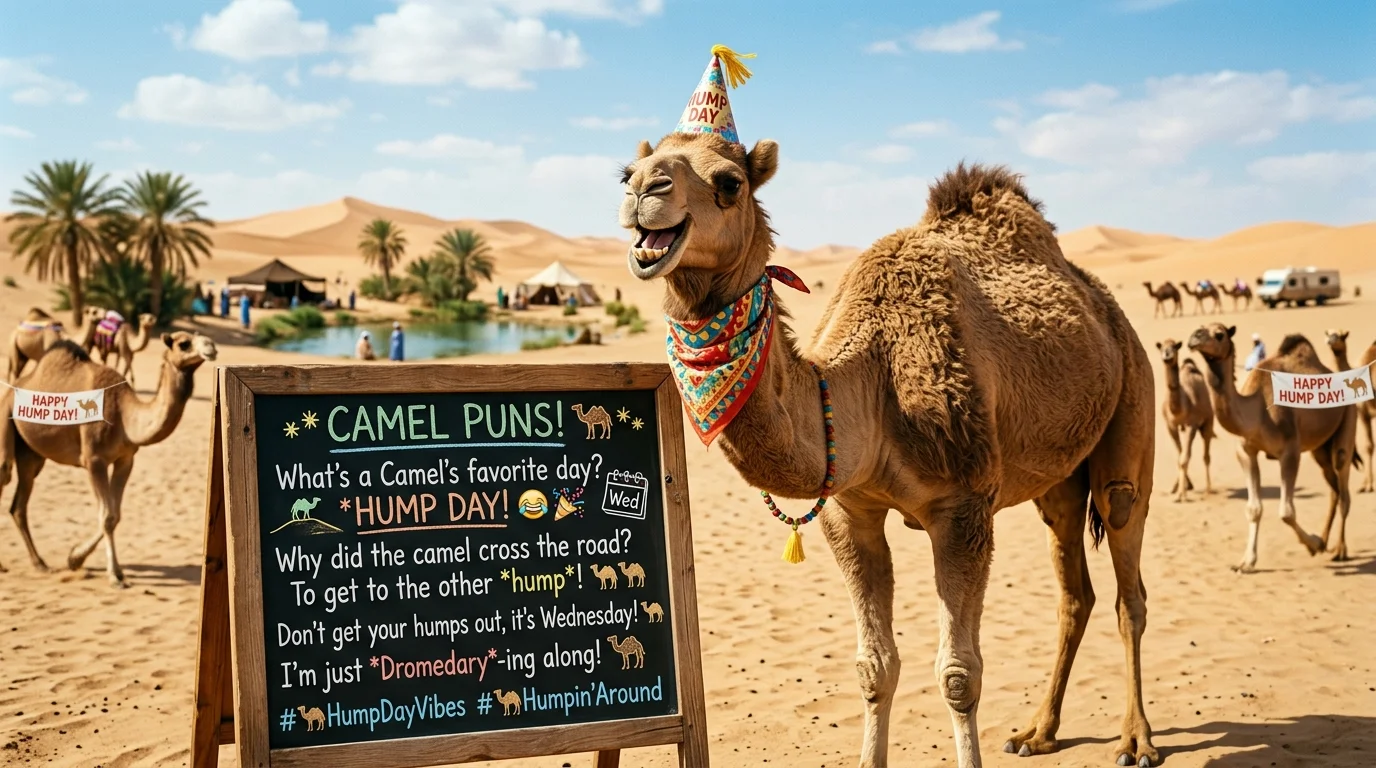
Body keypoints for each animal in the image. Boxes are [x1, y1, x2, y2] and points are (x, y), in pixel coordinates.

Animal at [0, 331, 218, 585]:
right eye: (183, 344)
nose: (211, 347)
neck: (125, 415)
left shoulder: (125, 459)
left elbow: (115, 515)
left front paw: (75, 558)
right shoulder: (94, 460)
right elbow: (106, 515)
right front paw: (113, 574)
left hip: (32, 455)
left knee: (19, 505)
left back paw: (40, 564)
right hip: (5, 418)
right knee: (5, 472)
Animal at [622, 134, 1158, 767]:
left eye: (730, 182)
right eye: (627, 171)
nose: (643, 189)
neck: (870, 387)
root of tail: (1105, 306)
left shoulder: (962, 508)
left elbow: (959, 675)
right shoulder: (849, 511)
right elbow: (874, 667)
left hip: (1134, 399)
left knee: (1128, 579)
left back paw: (1136, 741)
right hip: (1058, 478)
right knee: (1075, 592)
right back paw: (1038, 732)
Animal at [1155, 339, 1215, 502]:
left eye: (1174, 347)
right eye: (1162, 347)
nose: (1166, 355)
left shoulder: (1191, 425)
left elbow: (1184, 458)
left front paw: (1181, 495)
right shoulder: (1170, 426)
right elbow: (1180, 457)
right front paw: (1179, 490)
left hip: (1208, 421)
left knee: (1206, 455)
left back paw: (1208, 489)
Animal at [1188, 325, 1357, 569]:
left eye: (1219, 334)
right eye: (1200, 329)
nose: (1195, 337)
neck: (1258, 410)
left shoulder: (1290, 452)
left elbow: (1286, 512)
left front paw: (1313, 544)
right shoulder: (1246, 452)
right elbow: (1254, 508)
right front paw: (1246, 561)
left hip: (1348, 421)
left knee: (1344, 488)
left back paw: (1339, 550)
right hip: (1320, 449)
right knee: (1333, 488)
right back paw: (1326, 541)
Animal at [1326, 330, 1376, 493]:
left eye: (1342, 336)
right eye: (1328, 333)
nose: (1330, 341)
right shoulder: (1364, 414)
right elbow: (1369, 446)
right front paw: (1366, 485)